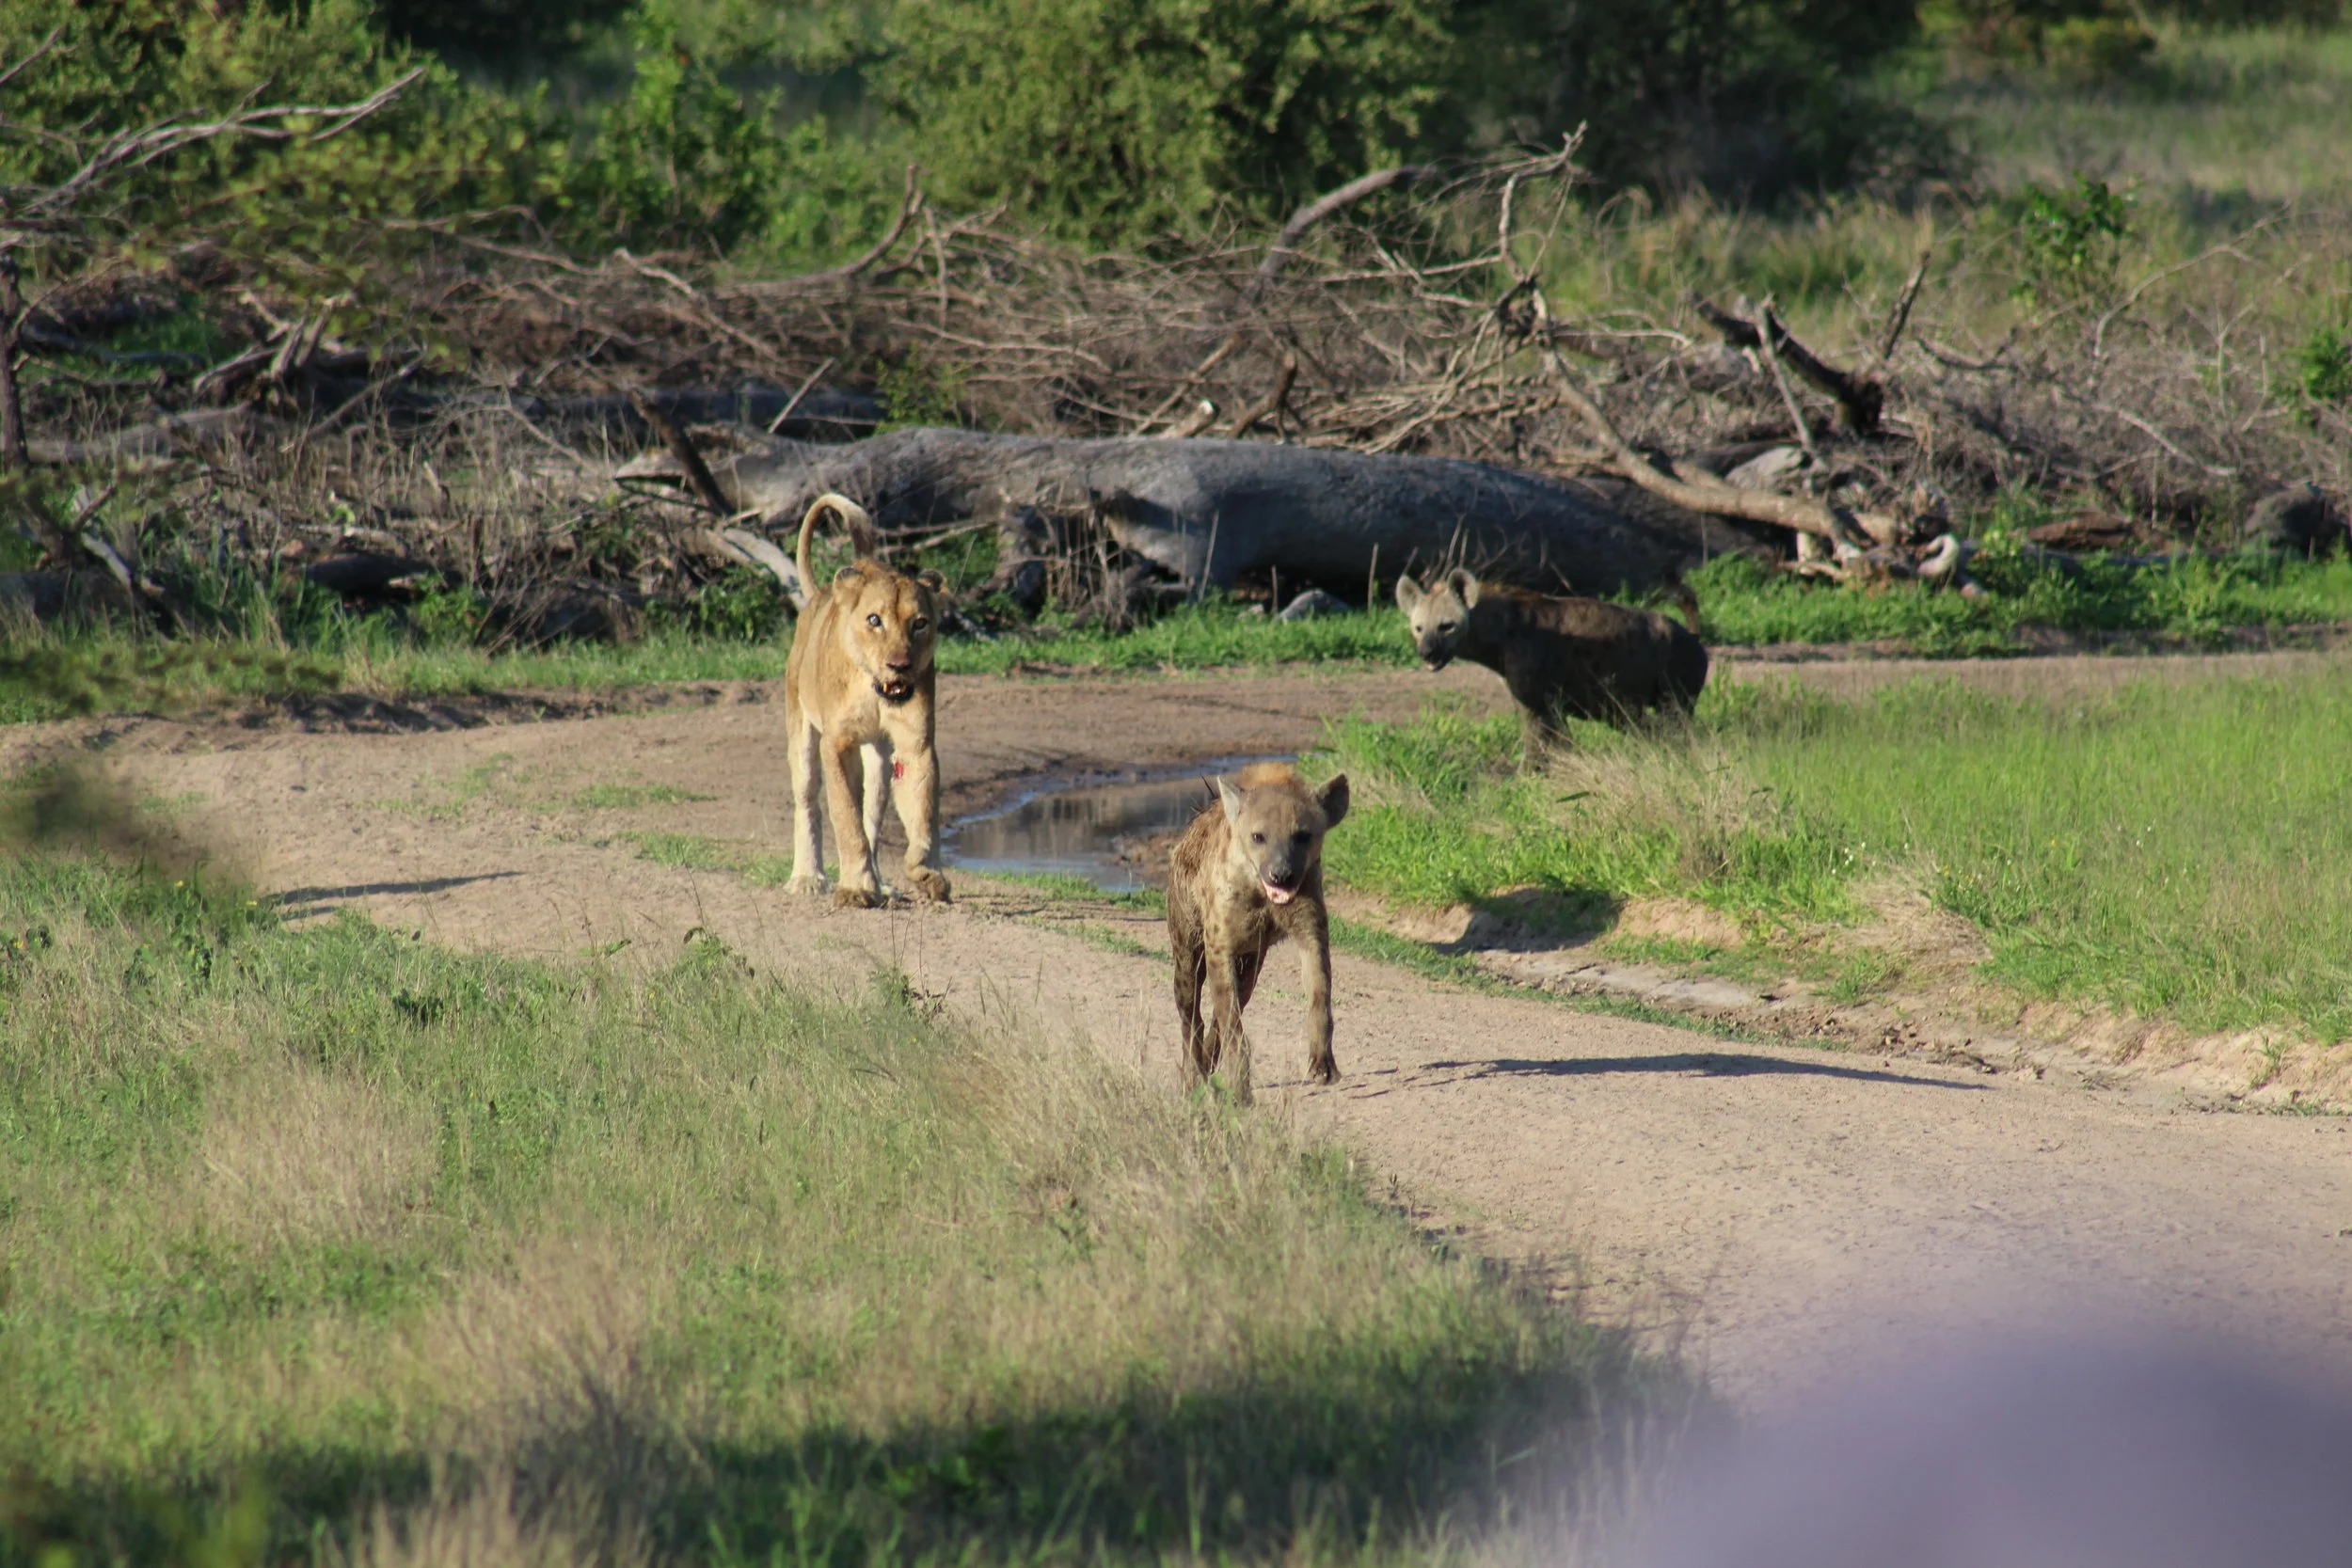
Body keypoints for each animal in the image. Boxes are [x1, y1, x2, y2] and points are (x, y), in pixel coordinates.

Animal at [780, 492, 952, 908]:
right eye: (875, 620)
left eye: (920, 623)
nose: (900, 666)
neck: (874, 691)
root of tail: (819, 594)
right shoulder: (837, 743)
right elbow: (845, 817)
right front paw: (856, 888)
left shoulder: (916, 743)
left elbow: (923, 810)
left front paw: (926, 872)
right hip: (802, 733)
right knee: (807, 802)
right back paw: (808, 878)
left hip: (878, 759)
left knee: (872, 814)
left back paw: (882, 884)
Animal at [1166, 762, 1350, 1104]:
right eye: (1258, 836)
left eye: (1302, 836)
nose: (1281, 874)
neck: (1260, 893)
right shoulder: (1219, 941)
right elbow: (1229, 1020)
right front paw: (1239, 1087)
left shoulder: (1310, 925)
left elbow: (1319, 990)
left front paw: (1322, 1066)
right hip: (1185, 940)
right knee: (1190, 1011)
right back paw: (1192, 1078)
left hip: (1252, 960)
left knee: (1227, 1005)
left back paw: (1208, 1064)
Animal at [1394, 568, 1707, 751]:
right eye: (1419, 628)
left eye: (1446, 626)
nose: (1427, 652)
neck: (1502, 634)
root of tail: (1693, 636)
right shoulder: (1531, 696)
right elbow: (1558, 742)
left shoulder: (1538, 697)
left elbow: (1539, 746)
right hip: (1624, 708)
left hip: (1674, 695)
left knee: (1676, 730)